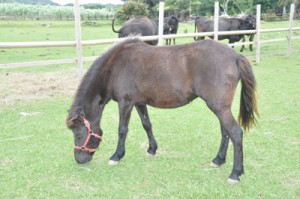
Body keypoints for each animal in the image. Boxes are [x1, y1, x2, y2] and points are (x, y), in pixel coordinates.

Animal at [65, 38, 258, 184]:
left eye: (79, 134)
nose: (79, 160)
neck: (115, 66)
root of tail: (234, 55)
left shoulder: (125, 103)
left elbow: (122, 130)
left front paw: (116, 156)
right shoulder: (139, 103)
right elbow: (147, 125)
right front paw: (152, 149)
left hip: (218, 107)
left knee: (235, 133)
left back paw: (235, 173)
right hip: (220, 107)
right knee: (225, 132)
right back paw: (218, 160)